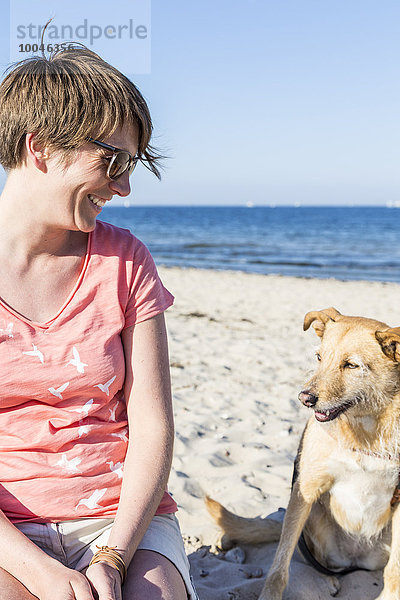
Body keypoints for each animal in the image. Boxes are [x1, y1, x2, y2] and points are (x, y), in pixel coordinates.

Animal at [208, 310, 400, 600]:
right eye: (319, 357)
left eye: (351, 365)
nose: (304, 398)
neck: (365, 430)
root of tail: (356, 560)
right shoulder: (305, 489)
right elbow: (280, 563)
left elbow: (394, 572)